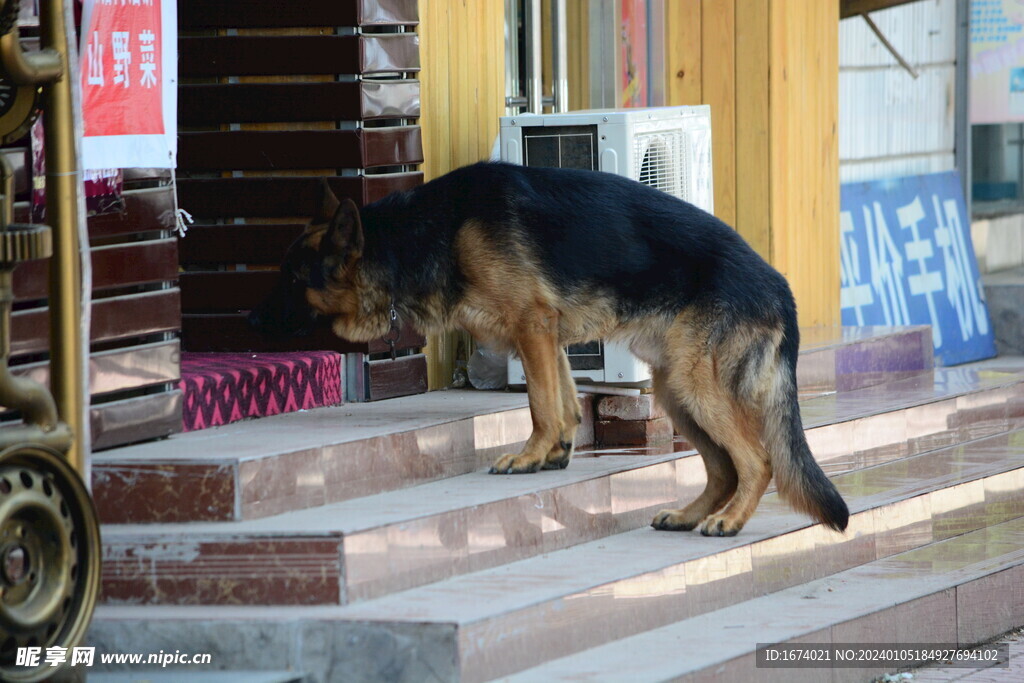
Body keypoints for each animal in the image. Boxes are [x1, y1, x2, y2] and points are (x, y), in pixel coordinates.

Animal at [249, 162, 847, 536]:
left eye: (293, 278)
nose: (247, 318)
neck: (418, 236)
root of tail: (781, 286)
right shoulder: (548, 334)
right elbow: (560, 400)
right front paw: (556, 451)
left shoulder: (531, 324)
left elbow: (538, 402)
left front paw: (530, 454)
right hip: (675, 389)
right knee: (722, 467)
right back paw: (687, 514)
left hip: (694, 386)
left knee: (756, 459)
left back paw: (729, 521)